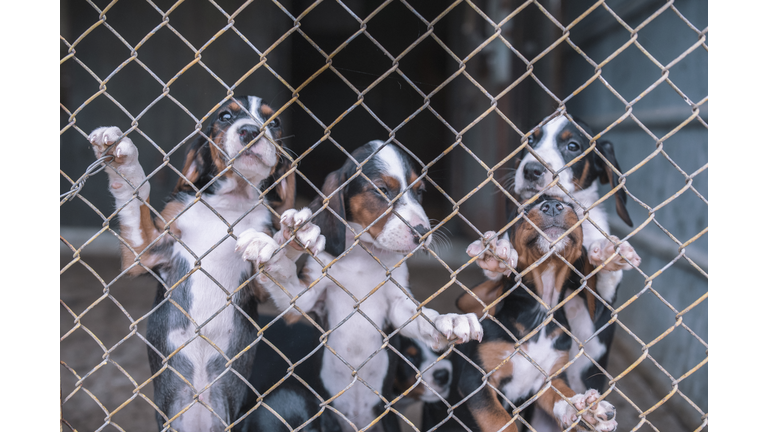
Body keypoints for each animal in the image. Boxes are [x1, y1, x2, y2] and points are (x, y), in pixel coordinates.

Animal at [89, 97, 316, 432]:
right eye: (225, 116)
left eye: (273, 122)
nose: (251, 131)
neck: (231, 203)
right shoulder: (143, 252)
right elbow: (135, 196)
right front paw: (124, 164)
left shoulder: (271, 295)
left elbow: (282, 273)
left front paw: (287, 243)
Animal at [246, 140, 484, 430]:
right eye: (381, 190)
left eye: (419, 192)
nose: (423, 232)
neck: (363, 256)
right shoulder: (307, 299)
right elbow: (286, 279)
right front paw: (281, 247)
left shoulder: (396, 304)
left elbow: (421, 316)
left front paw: (450, 321)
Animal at [456, 197, 616, 432]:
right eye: (520, 211)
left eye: (569, 204)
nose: (553, 206)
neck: (540, 313)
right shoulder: (476, 378)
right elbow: (499, 420)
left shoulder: (550, 380)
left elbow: (563, 395)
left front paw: (586, 410)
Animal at [464, 113, 640, 396]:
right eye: (530, 141)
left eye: (573, 146)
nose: (531, 170)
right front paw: (497, 251)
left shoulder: (600, 309)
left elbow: (603, 284)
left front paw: (609, 253)